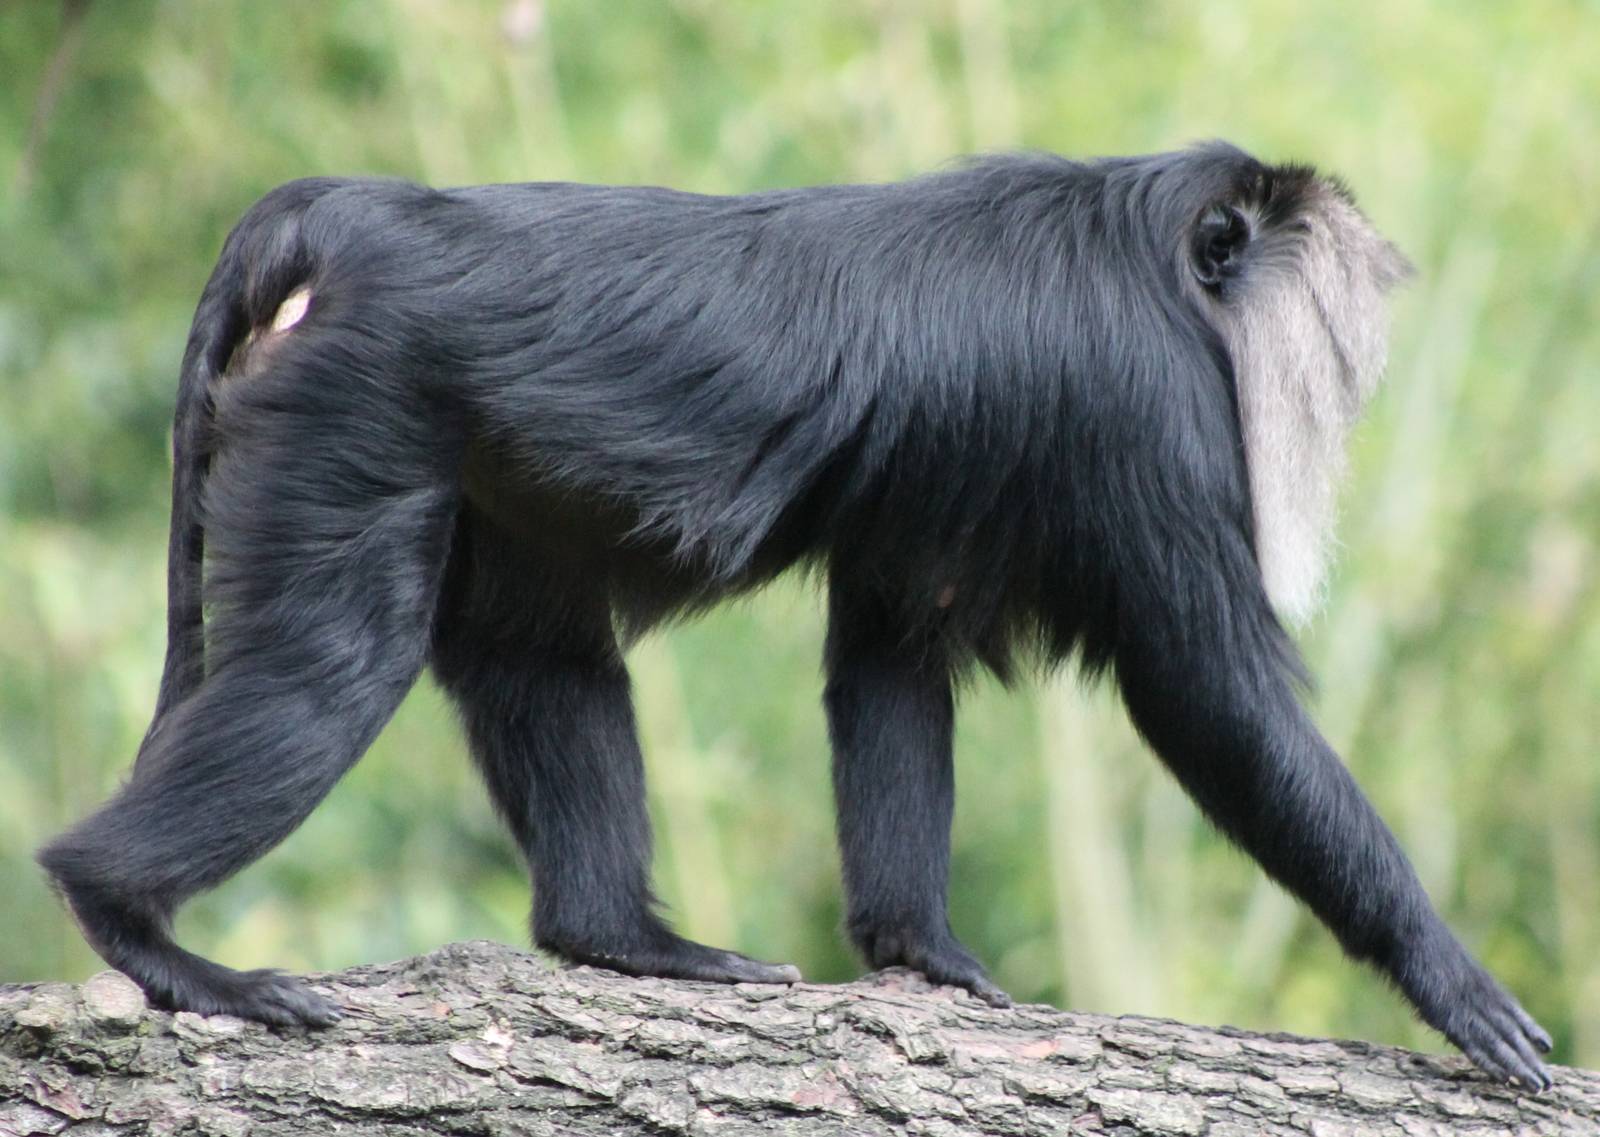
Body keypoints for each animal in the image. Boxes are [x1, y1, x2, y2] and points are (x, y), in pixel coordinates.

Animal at [39, 142, 1553, 1089]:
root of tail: (344, 217)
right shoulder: (1147, 400)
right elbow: (1208, 697)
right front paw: (1445, 973)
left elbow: (890, 655)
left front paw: (920, 954)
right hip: (350, 403)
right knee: (332, 666)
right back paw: (135, 924)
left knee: (540, 658)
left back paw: (622, 938)